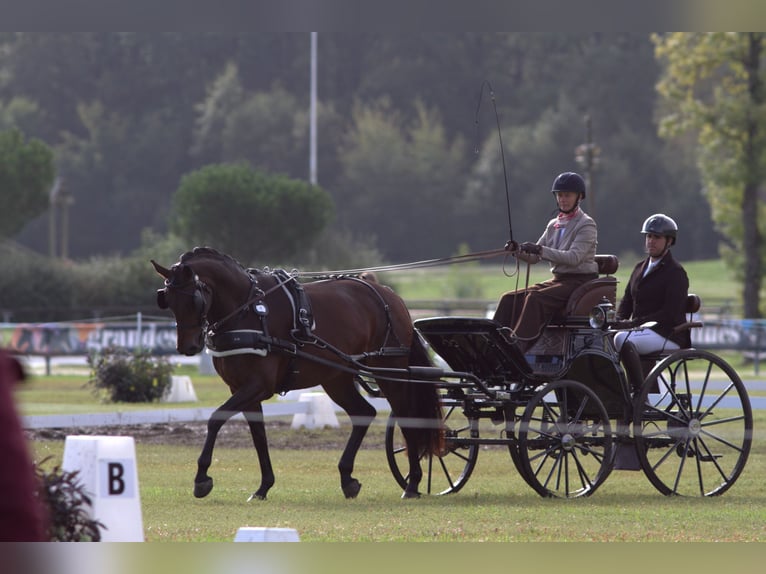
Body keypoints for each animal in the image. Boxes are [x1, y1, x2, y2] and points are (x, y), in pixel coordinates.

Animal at [152, 248, 444, 504]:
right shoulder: (242, 389)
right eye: (167, 299)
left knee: (407, 419)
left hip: (389, 371)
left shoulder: (258, 386)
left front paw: (201, 479)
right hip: (336, 378)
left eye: (194, 299)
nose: (187, 347)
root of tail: (388, 295)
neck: (248, 309)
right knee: (364, 413)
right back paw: (348, 479)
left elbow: (215, 419)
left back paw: (412, 483)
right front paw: (263, 487)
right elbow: (258, 436)